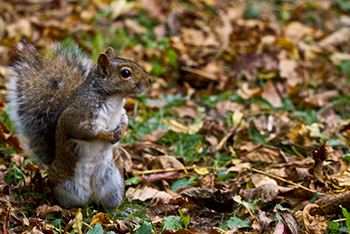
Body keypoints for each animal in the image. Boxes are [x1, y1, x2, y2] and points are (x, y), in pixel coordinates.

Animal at [6, 43, 152, 209]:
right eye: (126, 73)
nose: (150, 80)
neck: (114, 99)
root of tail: (91, 197)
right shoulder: (76, 116)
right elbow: (83, 131)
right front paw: (106, 135)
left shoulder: (122, 113)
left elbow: (125, 121)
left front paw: (120, 133)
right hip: (65, 187)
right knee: (72, 204)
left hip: (114, 183)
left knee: (108, 205)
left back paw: (118, 211)